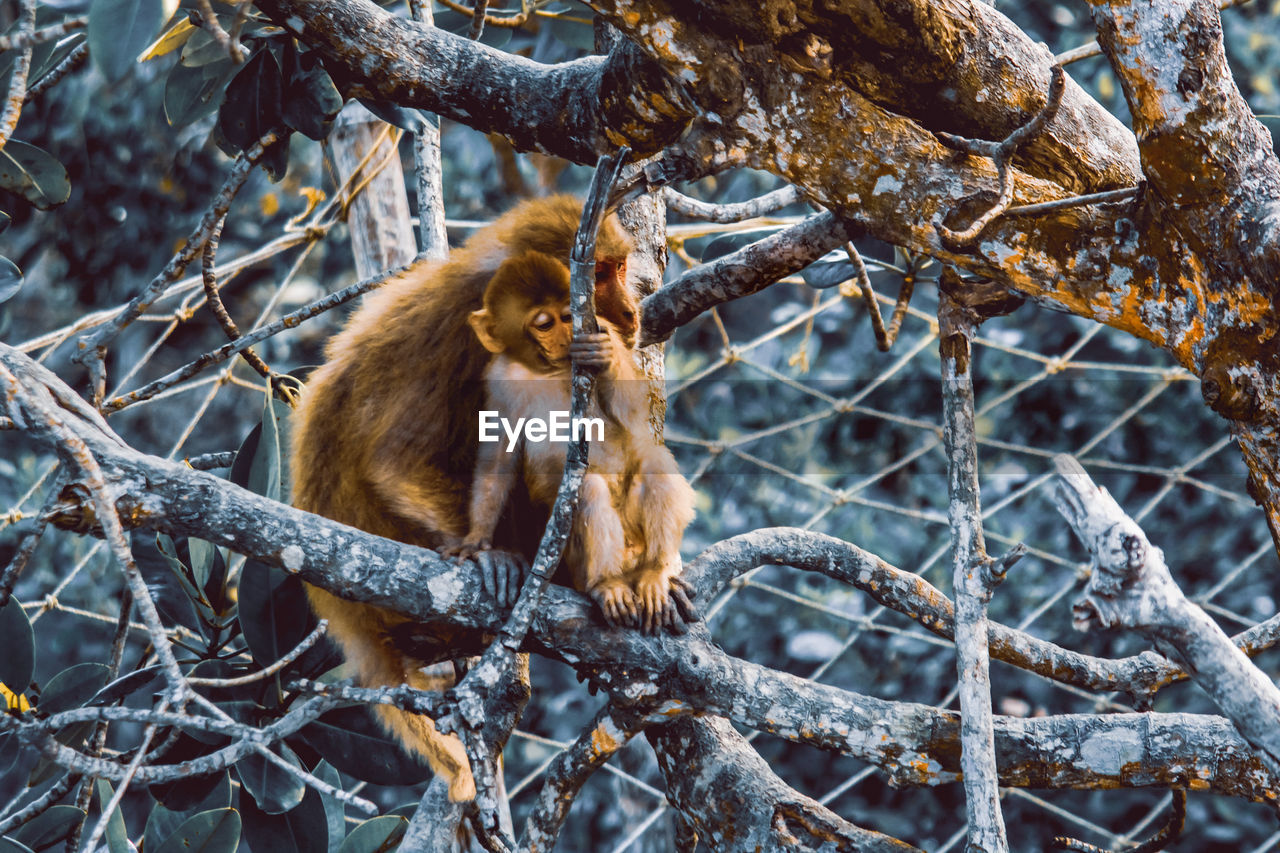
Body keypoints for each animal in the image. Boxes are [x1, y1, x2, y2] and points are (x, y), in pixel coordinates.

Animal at [453, 249, 701, 627]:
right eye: (544, 324)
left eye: (569, 316)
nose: (568, 334)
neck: (548, 369)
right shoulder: (498, 379)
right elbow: (499, 457)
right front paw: (477, 540)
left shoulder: (607, 330)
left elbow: (634, 417)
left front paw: (605, 355)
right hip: (571, 560)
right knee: (588, 489)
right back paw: (607, 583)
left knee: (652, 460)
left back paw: (655, 573)